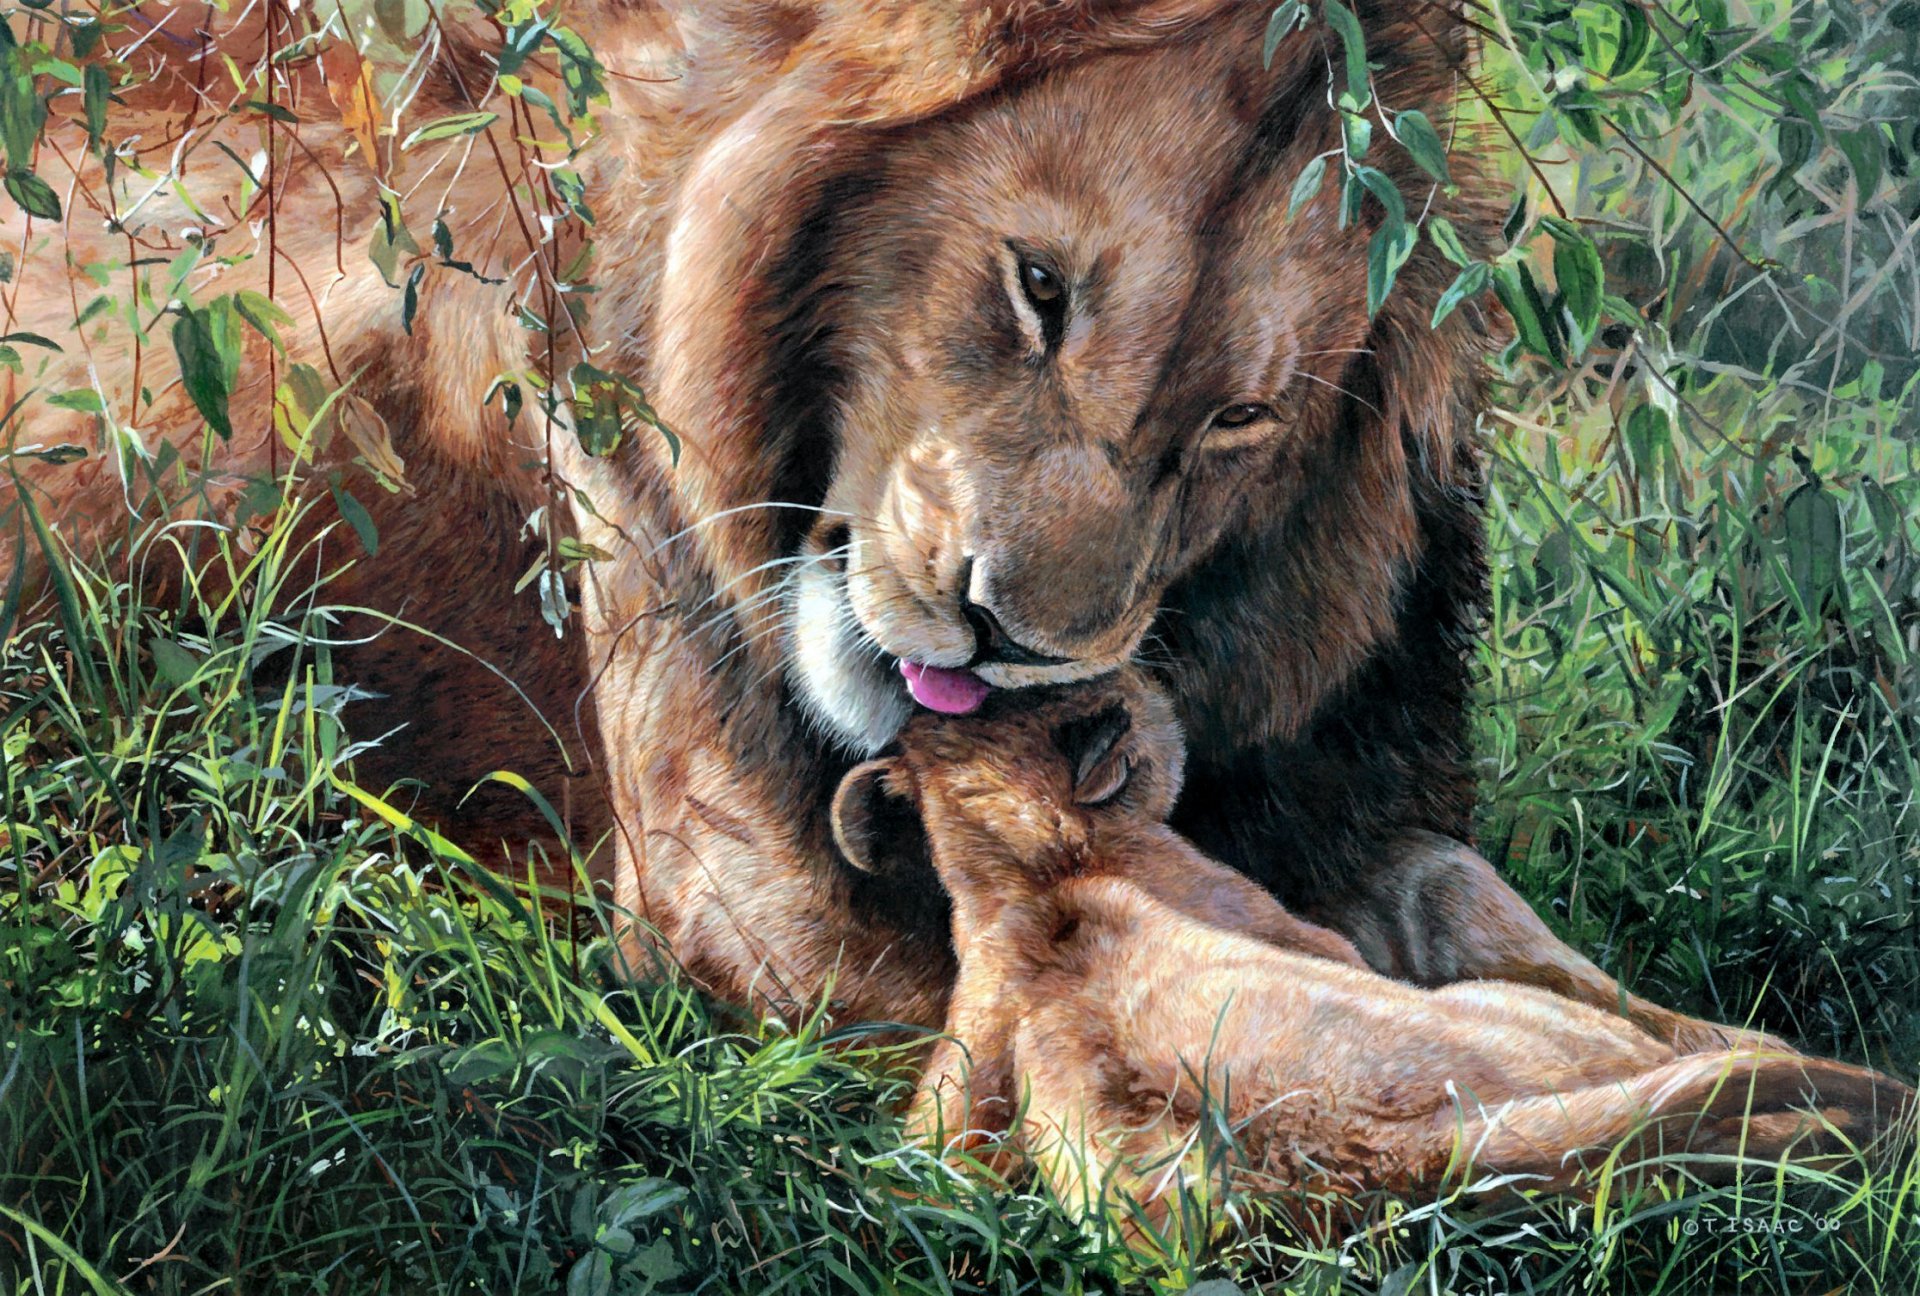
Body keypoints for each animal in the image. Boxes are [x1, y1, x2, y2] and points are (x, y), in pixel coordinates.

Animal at [829, 670, 1912, 1233]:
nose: (1150, 676)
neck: (1024, 870)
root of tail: (1397, 1156)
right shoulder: (1315, 933)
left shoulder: (950, 1103)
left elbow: (919, 1167)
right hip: (1537, 1016)